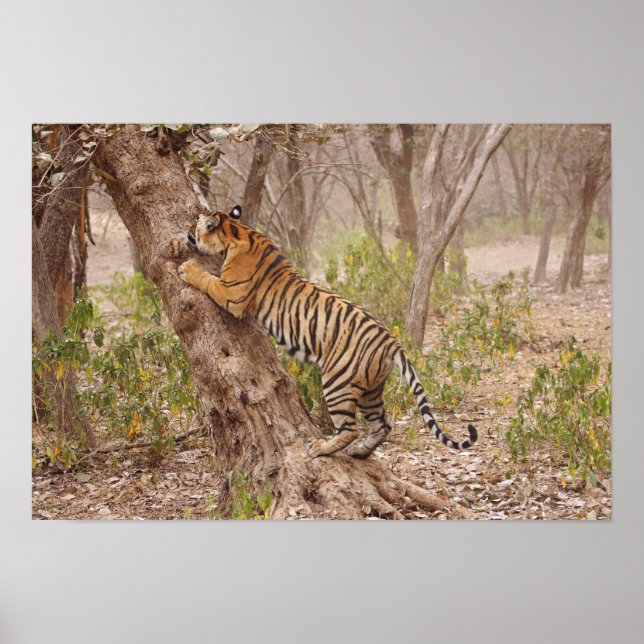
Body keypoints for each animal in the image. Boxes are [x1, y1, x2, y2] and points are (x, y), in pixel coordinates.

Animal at [179, 205, 477, 459]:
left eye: (195, 223)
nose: (186, 230)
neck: (238, 231)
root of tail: (392, 343)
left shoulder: (231, 294)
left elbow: (207, 280)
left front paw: (187, 268)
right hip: (371, 389)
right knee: (382, 425)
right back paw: (361, 452)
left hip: (337, 383)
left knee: (350, 428)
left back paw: (322, 448)